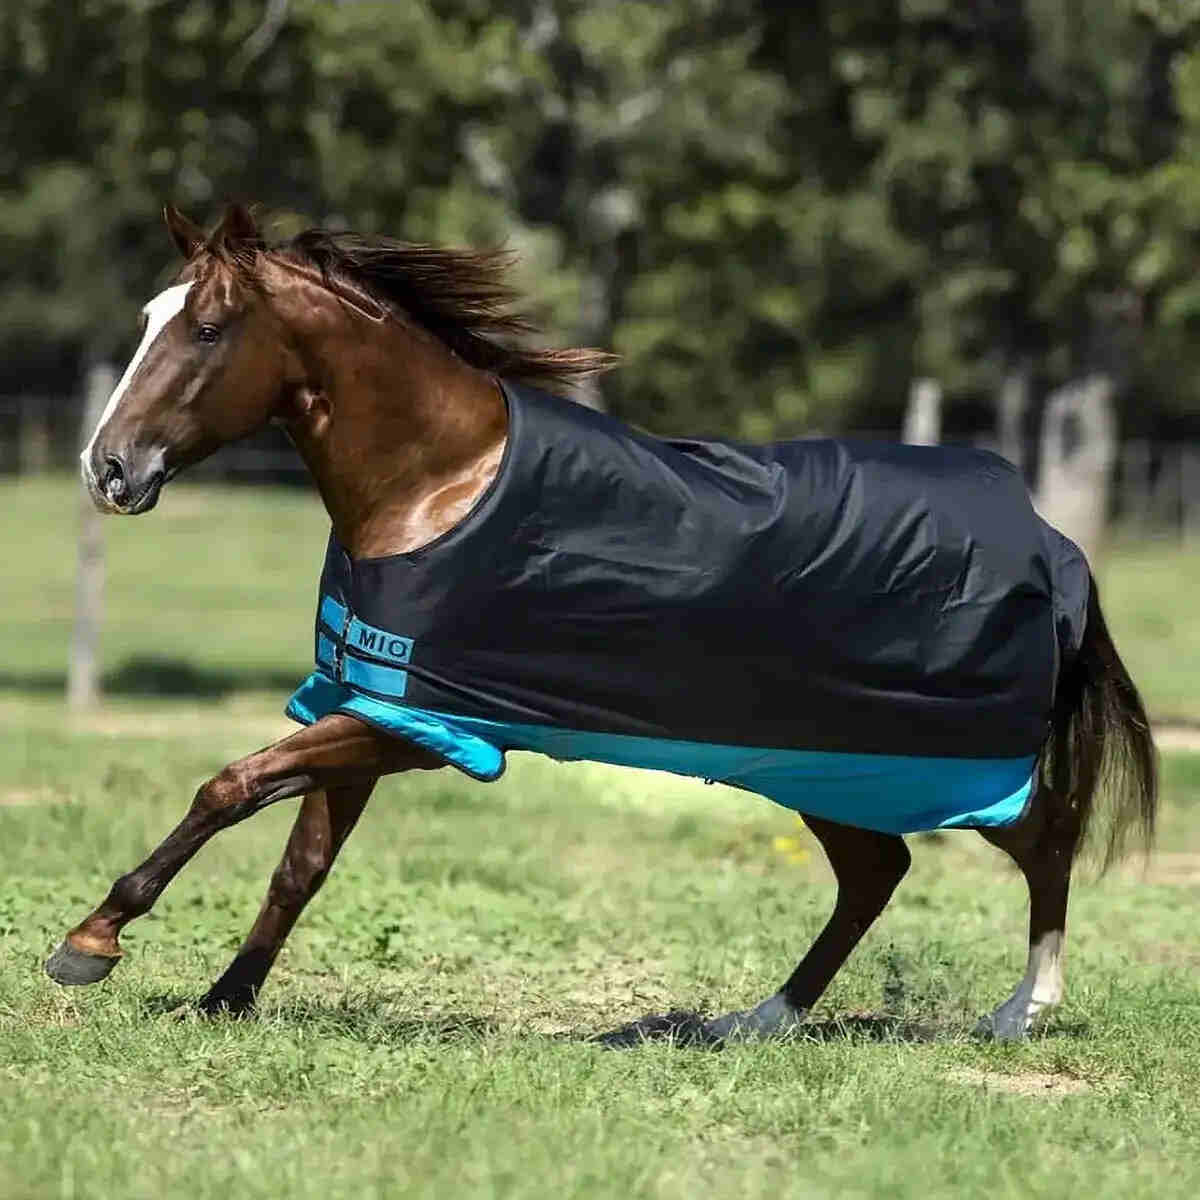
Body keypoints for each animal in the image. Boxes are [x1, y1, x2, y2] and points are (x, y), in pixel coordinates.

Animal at [46, 204, 1157, 1044]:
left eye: (207, 327)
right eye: (151, 314)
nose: (109, 470)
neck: (437, 484)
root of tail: (1052, 543)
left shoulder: (432, 727)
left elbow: (229, 786)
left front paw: (90, 943)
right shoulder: (376, 702)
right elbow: (298, 863)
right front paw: (223, 999)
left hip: (941, 765)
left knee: (1045, 838)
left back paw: (1020, 1013)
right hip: (830, 766)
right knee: (877, 873)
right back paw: (758, 1022)